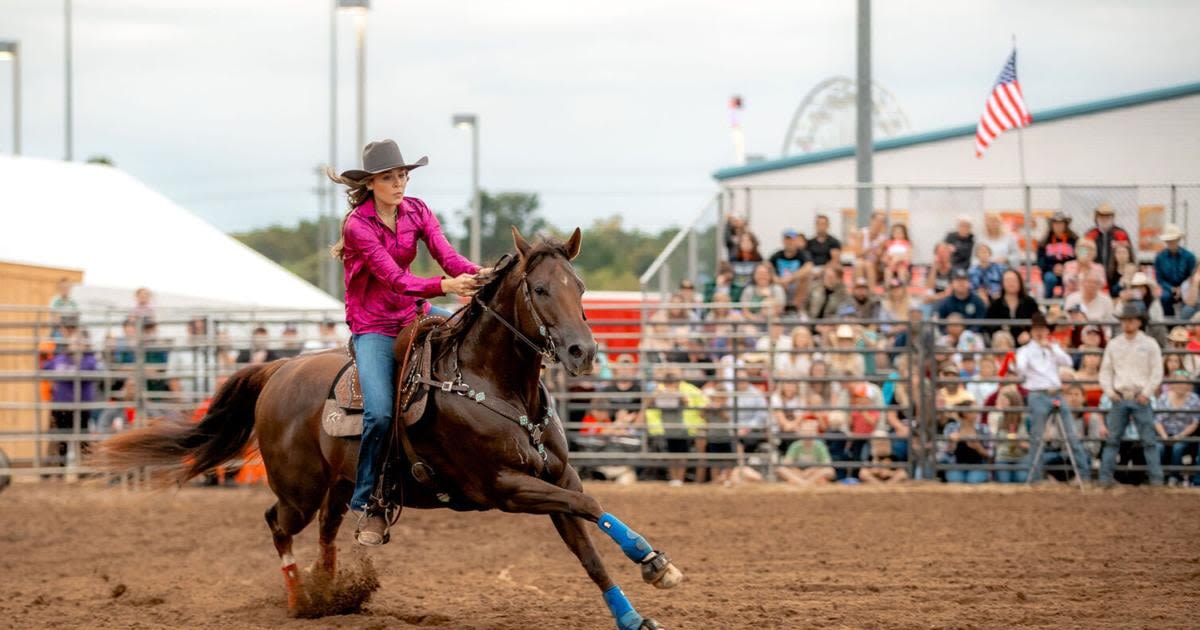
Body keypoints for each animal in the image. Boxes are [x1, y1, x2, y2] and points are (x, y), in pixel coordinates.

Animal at [98, 226, 681, 628]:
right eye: (538, 289)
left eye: (578, 286)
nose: (584, 352)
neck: (495, 384)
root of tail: (278, 370)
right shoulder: (506, 488)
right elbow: (592, 504)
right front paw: (653, 562)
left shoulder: (555, 478)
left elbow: (587, 546)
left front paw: (639, 601)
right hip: (298, 489)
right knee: (278, 523)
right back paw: (301, 599)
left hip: (341, 485)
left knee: (328, 530)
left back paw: (331, 593)